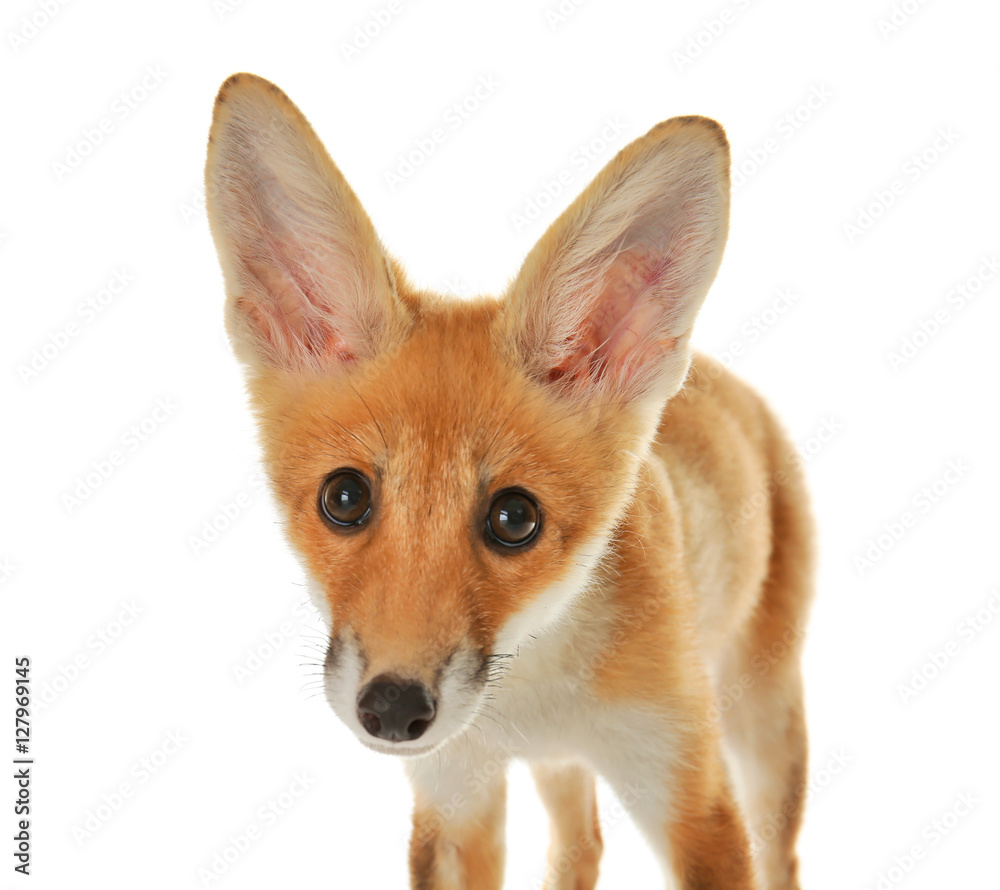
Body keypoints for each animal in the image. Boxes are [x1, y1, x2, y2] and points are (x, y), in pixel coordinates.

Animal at [205, 72, 815, 890]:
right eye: (345, 499)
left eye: (514, 518)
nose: (392, 709)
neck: (531, 697)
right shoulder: (453, 791)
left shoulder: (690, 792)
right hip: (565, 773)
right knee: (581, 842)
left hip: (763, 724)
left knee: (779, 852)